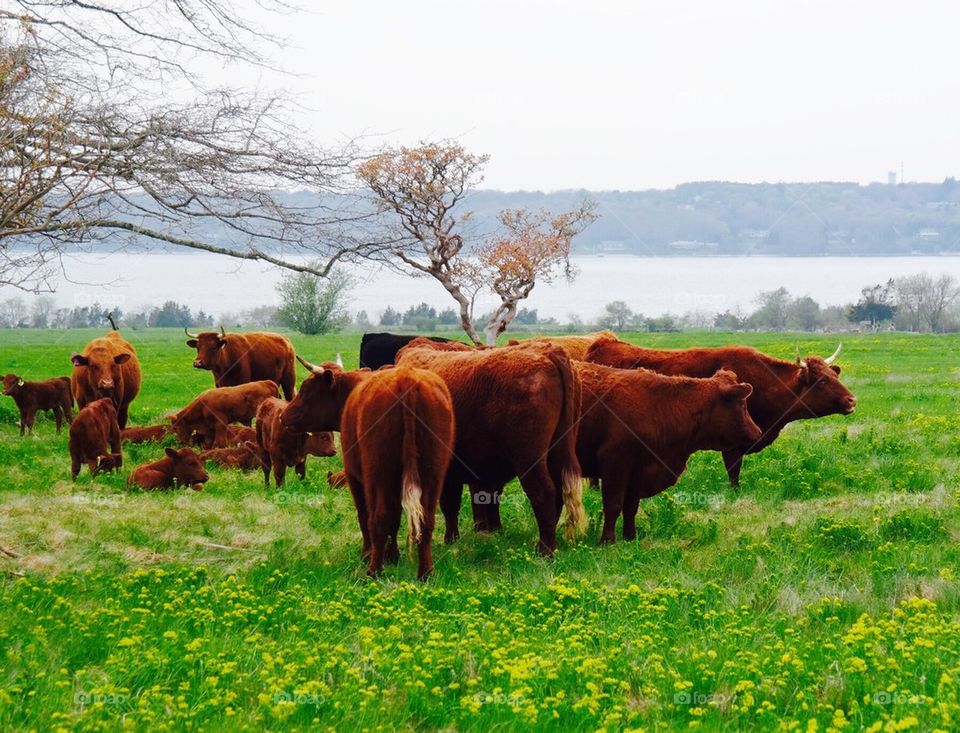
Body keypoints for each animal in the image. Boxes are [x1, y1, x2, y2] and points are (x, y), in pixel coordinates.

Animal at [283, 360, 455, 579]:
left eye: (305, 389)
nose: (283, 415)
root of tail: (406, 378)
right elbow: (395, 519)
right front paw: (393, 555)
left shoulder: (355, 478)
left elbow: (364, 516)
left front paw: (368, 554)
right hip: (432, 473)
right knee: (426, 520)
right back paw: (425, 573)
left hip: (378, 473)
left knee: (378, 518)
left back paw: (373, 570)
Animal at [395, 339, 586, 555]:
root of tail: (549, 352)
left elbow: (450, 504)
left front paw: (451, 539)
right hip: (558, 452)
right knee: (559, 492)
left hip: (529, 460)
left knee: (543, 492)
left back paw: (544, 550)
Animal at [584, 338, 857, 486]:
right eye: (821, 381)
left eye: (833, 375)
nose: (852, 399)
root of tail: (602, 343)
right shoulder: (733, 445)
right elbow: (734, 476)